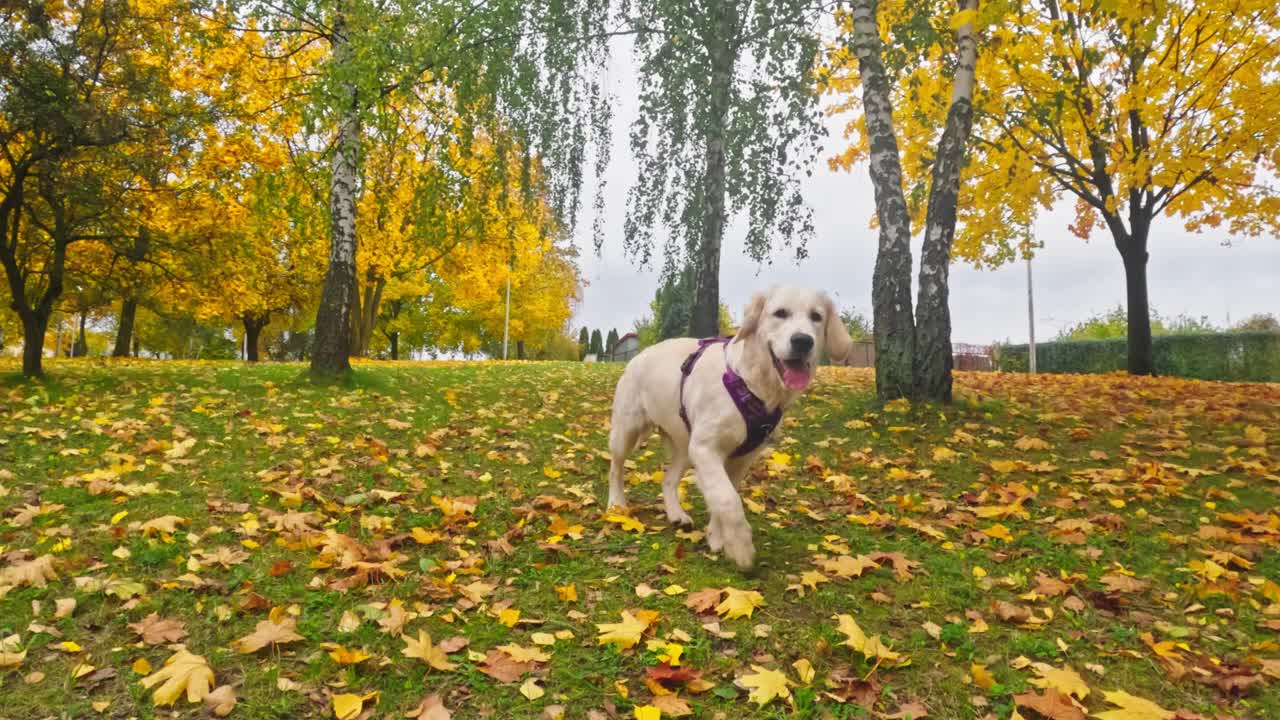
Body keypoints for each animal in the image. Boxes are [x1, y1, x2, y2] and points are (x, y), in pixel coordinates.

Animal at [606, 285, 855, 566]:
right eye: (780, 313)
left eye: (816, 317)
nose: (803, 341)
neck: (753, 386)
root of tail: (640, 354)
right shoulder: (706, 448)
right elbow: (727, 499)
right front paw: (740, 547)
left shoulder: (742, 456)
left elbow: (725, 493)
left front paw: (716, 536)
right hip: (627, 430)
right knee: (615, 468)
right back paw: (616, 504)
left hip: (685, 445)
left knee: (668, 480)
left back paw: (676, 514)